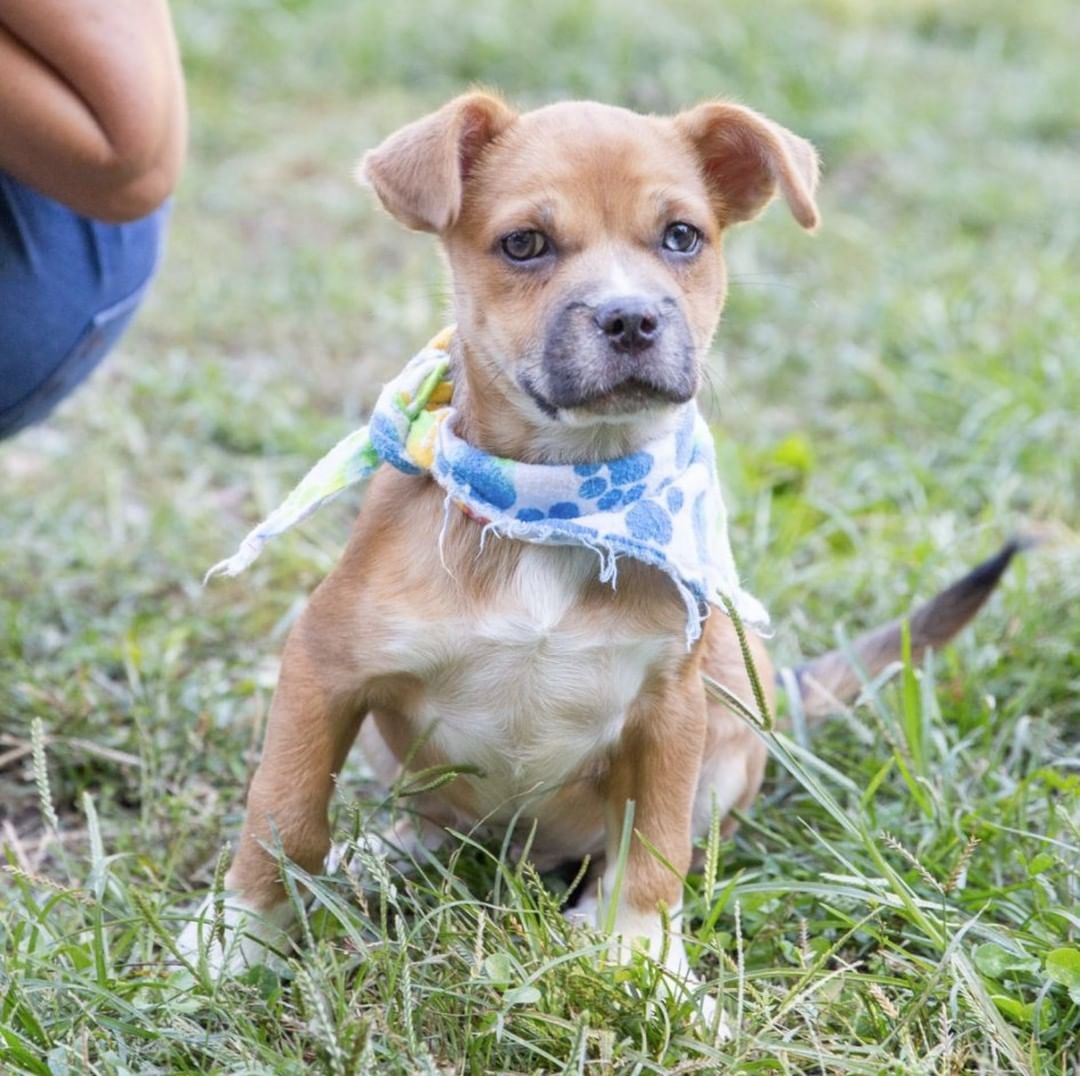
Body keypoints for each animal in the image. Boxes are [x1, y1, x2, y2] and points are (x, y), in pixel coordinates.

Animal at [179, 94, 1019, 1024]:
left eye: (682, 236)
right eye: (524, 244)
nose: (631, 319)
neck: (560, 510)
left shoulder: (671, 706)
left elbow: (654, 846)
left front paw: (642, 957)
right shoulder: (324, 666)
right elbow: (284, 813)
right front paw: (237, 940)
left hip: (738, 696)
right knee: (434, 825)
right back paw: (380, 854)